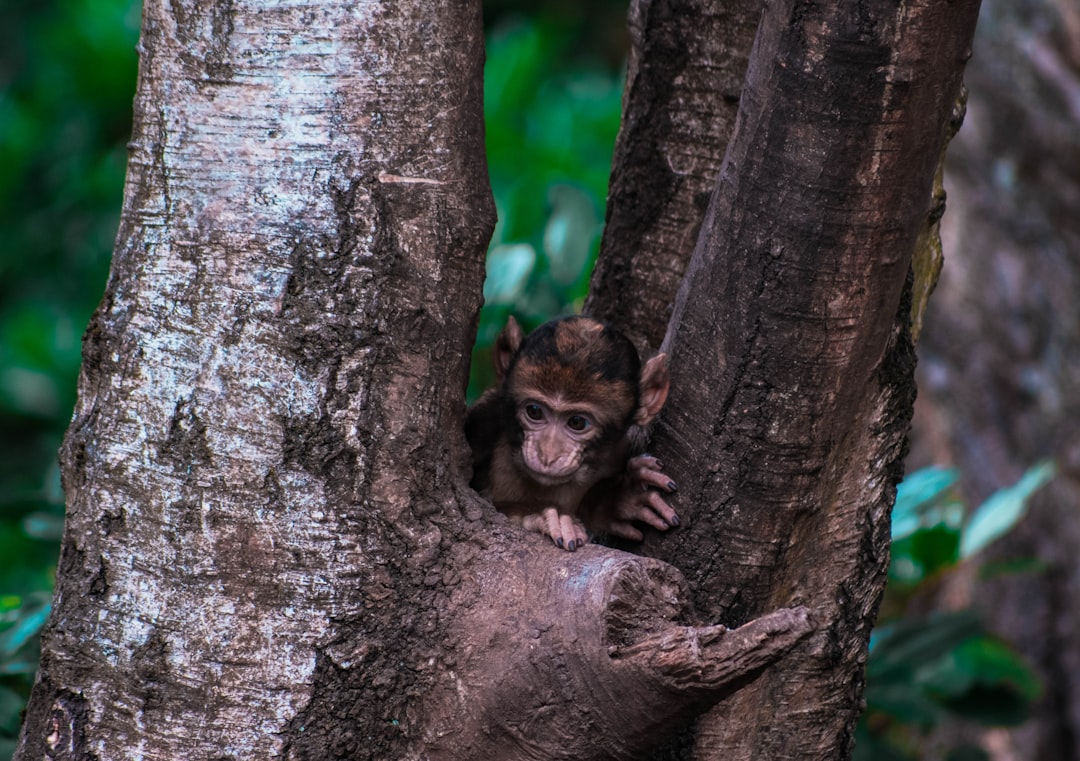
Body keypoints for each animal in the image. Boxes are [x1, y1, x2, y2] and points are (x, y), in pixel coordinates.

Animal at [466, 310, 682, 548]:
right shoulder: (486, 416)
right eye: (534, 411)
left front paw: (616, 499)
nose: (547, 455)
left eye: (577, 422)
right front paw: (535, 515)